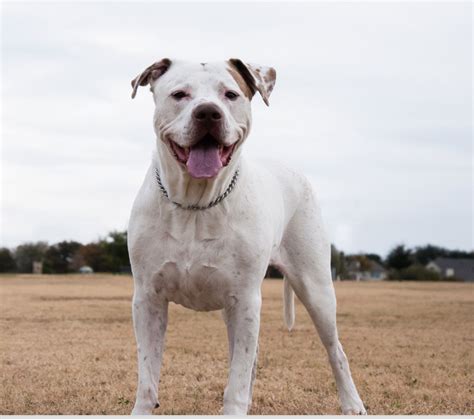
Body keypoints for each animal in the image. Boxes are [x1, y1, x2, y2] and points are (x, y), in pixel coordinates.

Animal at [127, 59, 366, 416]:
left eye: (230, 94)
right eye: (180, 94)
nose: (208, 112)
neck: (196, 203)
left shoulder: (245, 300)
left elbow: (237, 380)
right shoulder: (148, 299)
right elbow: (148, 375)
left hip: (316, 289)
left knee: (335, 350)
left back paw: (352, 403)